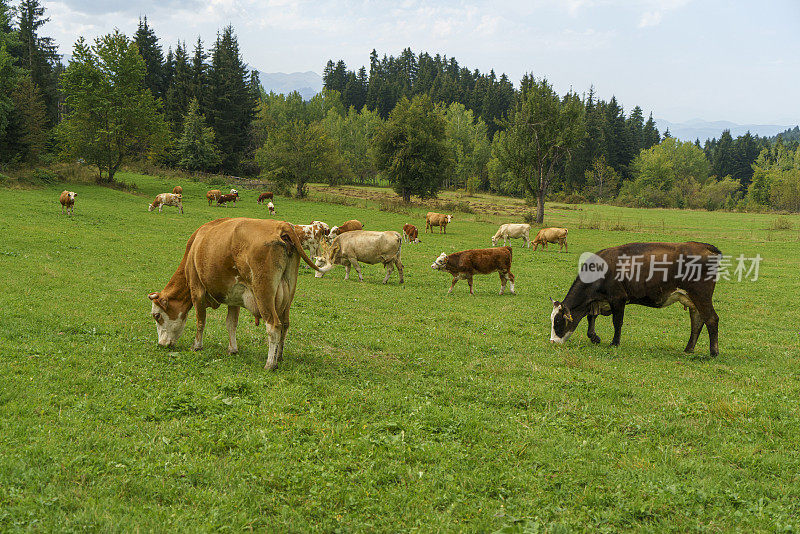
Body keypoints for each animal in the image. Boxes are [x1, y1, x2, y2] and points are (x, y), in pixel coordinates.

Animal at [147, 216, 318, 370]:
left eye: (157, 316)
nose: (161, 344)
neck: (194, 248)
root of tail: (281, 226)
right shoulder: (234, 297)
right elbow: (231, 323)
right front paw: (232, 349)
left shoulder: (197, 291)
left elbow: (200, 321)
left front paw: (197, 346)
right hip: (288, 294)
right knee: (285, 325)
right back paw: (279, 356)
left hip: (263, 294)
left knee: (274, 326)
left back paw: (270, 364)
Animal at [552, 242, 720, 358]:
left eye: (558, 321)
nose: (553, 341)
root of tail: (703, 246)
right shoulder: (596, 302)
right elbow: (591, 317)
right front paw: (594, 337)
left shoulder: (618, 299)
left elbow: (617, 322)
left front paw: (614, 343)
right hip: (692, 300)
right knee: (697, 321)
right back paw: (688, 349)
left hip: (701, 295)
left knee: (711, 319)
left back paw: (713, 352)